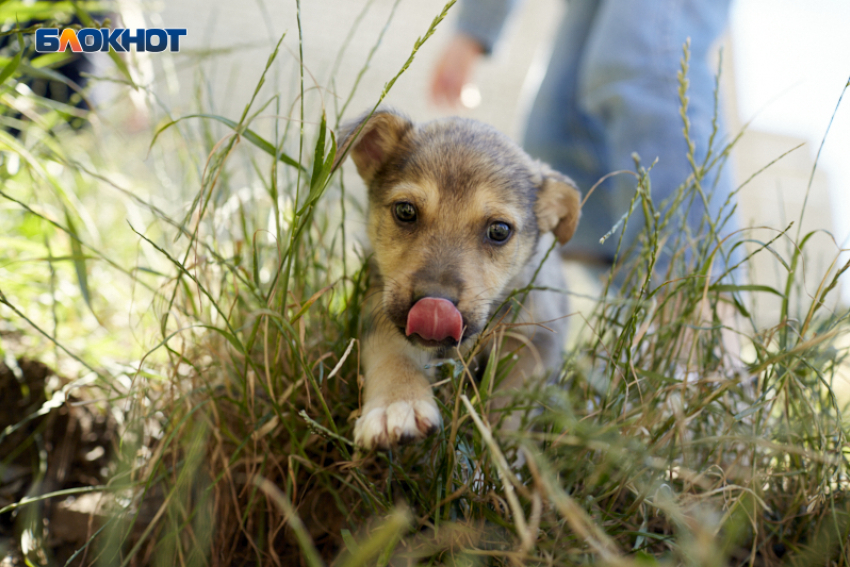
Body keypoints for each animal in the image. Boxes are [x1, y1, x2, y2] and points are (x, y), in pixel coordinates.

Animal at [334, 108, 580, 450]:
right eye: (405, 210)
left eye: (499, 231)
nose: (434, 307)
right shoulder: (378, 313)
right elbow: (392, 356)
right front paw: (397, 404)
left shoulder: (536, 338)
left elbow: (512, 395)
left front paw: (499, 446)